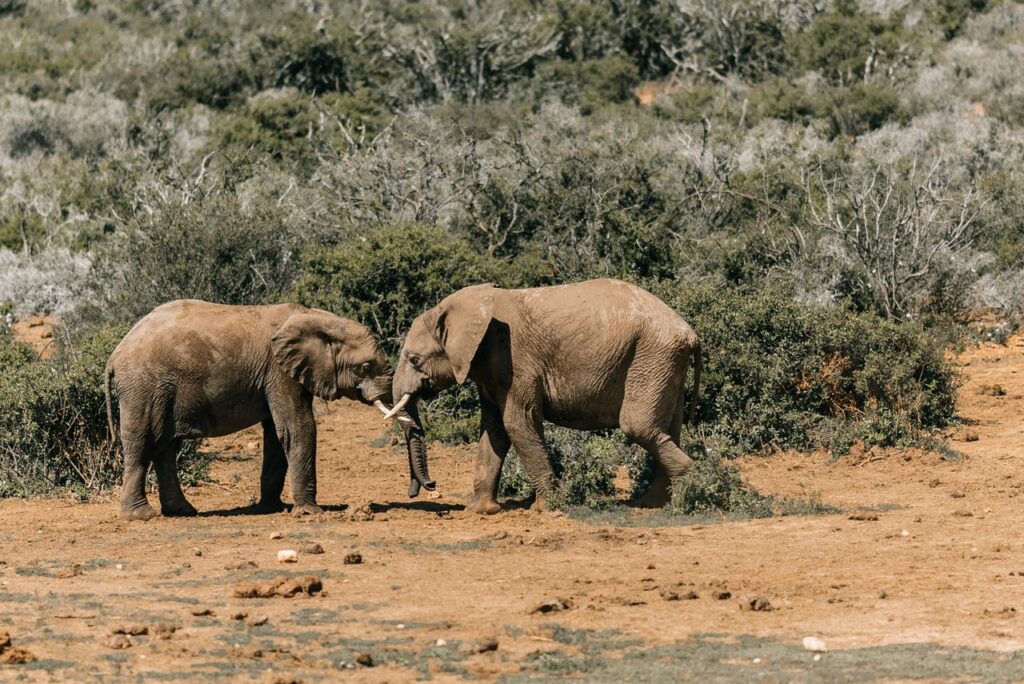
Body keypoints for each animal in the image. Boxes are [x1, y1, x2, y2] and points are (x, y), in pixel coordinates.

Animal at [105, 299, 433, 520]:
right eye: (365, 366)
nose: (426, 487)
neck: (315, 317)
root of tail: (115, 354)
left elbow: (276, 434)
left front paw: (272, 508)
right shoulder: (279, 371)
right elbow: (297, 426)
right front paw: (310, 512)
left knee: (166, 446)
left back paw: (183, 511)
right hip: (143, 386)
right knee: (143, 442)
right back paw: (142, 516)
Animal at [386, 278, 701, 514]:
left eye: (413, 359)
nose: (429, 487)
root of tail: (691, 333)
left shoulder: (514, 360)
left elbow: (517, 422)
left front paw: (546, 508)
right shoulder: (488, 369)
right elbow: (494, 429)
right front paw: (480, 511)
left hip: (651, 357)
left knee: (639, 426)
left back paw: (686, 493)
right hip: (664, 363)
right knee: (667, 430)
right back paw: (653, 503)